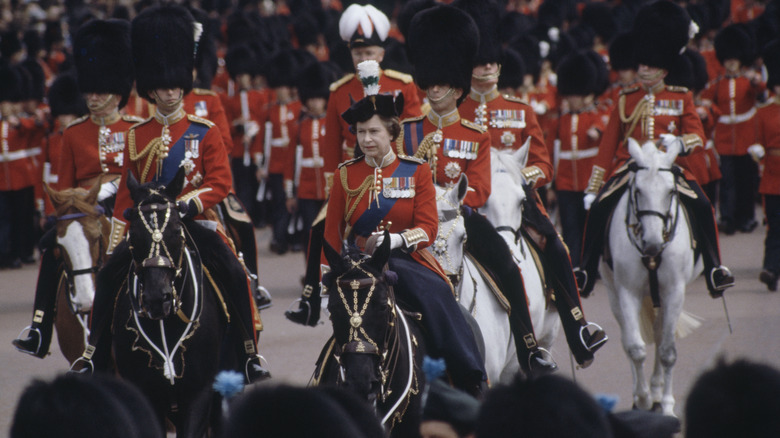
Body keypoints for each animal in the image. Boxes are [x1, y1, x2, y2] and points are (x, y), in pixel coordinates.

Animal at [600, 139, 704, 416]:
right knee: (628, 339)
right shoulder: (627, 291)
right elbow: (635, 348)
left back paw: (658, 393)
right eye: (637, 191)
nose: (653, 244)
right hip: (614, 294)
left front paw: (666, 405)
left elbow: (667, 351)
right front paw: (643, 398)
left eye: (670, 192)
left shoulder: (674, 292)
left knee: (658, 335)